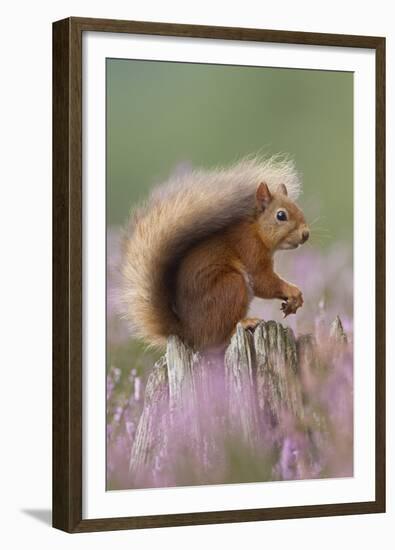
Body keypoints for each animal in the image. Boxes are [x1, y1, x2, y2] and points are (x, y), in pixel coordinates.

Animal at [120, 157, 310, 352]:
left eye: (299, 209)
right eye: (281, 215)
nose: (306, 234)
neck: (256, 230)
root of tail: (190, 334)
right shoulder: (250, 250)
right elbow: (263, 282)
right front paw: (292, 290)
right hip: (232, 287)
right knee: (219, 337)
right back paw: (245, 323)